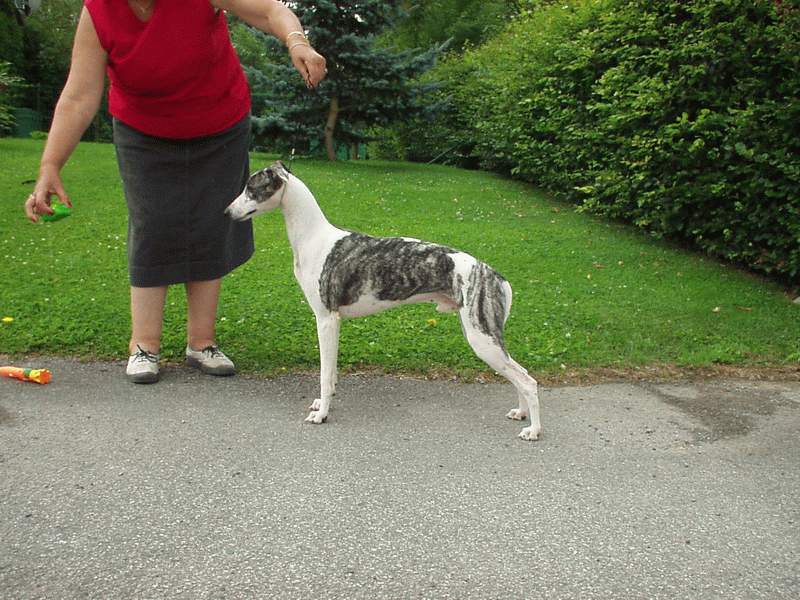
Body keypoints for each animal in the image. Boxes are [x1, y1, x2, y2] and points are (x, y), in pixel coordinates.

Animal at [225, 161, 544, 440]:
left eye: (251, 188)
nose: (227, 212)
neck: (314, 238)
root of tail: (495, 275)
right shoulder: (334, 323)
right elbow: (333, 372)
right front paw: (323, 402)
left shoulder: (326, 319)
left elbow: (325, 374)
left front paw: (322, 414)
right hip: (483, 334)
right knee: (521, 373)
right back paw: (521, 414)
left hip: (482, 338)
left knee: (528, 380)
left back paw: (533, 430)